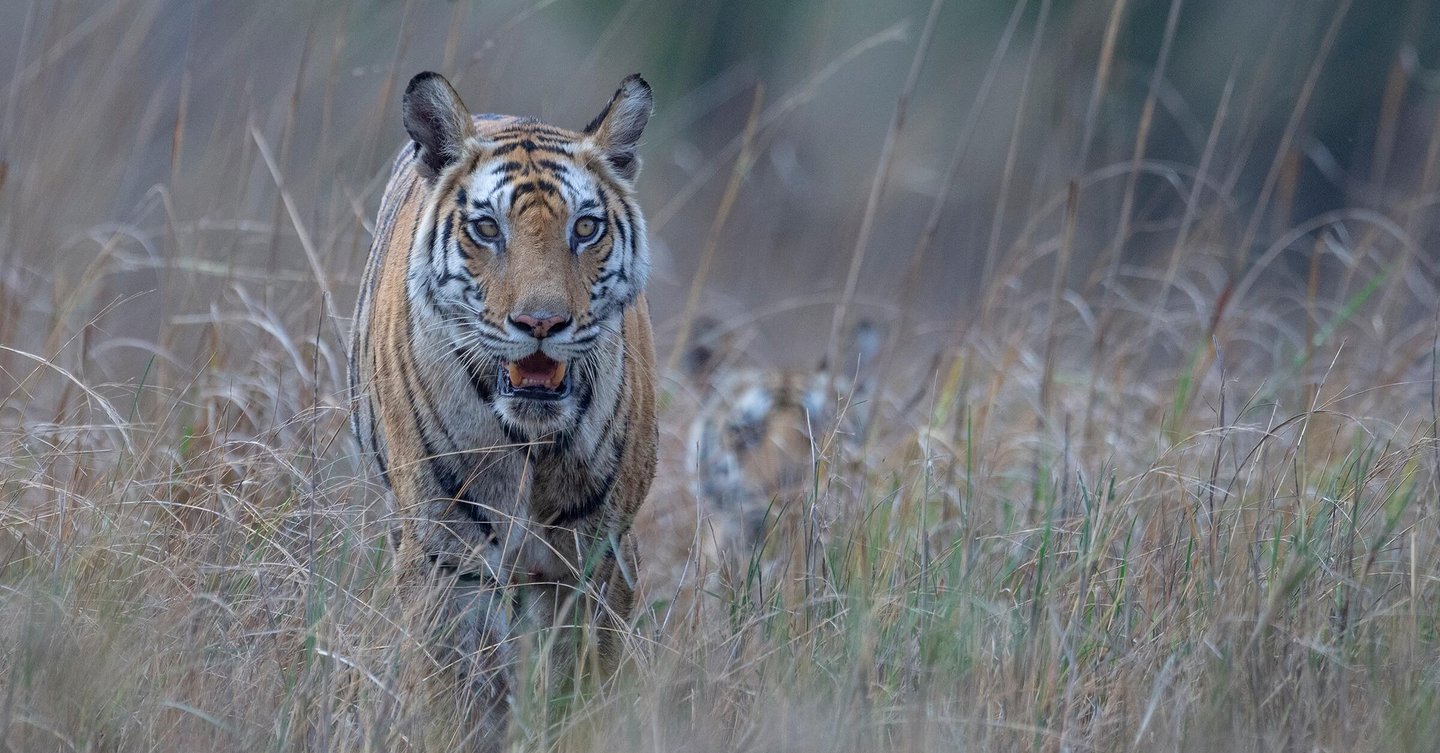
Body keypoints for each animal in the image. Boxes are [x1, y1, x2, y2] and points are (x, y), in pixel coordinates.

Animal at [347, 70, 657, 746]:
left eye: (585, 228)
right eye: (488, 229)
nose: (541, 323)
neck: (532, 448)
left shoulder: (592, 566)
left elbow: (574, 693)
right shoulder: (448, 560)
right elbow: (463, 699)